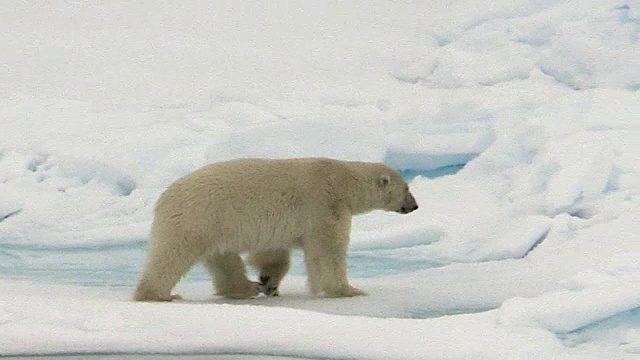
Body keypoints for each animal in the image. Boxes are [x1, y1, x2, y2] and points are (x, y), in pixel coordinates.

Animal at [132, 158, 418, 300]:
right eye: (406, 188)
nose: (414, 205)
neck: (343, 179)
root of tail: (162, 198)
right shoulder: (324, 205)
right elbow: (327, 252)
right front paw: (348, 290)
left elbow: (273, 252)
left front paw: (269, 282)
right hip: (197, 219)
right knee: (172, 256)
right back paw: (157, 294)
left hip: (214, 226)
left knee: (223, 259)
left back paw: (246, 288)